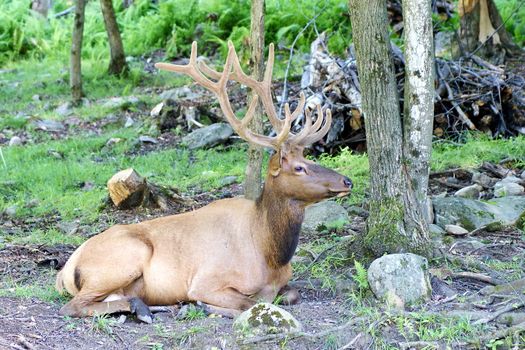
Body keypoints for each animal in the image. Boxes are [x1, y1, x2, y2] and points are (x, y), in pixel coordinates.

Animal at [55, 40, 352, 322]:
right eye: (300, 167)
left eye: (309, 157)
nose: (347, 181)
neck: (270, 254)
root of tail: (65, 270)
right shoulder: (206, 280)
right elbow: (249, 303)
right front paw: (206, 306)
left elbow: (291, 294)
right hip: (124, 258)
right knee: (73, 306)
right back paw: (144, 309)